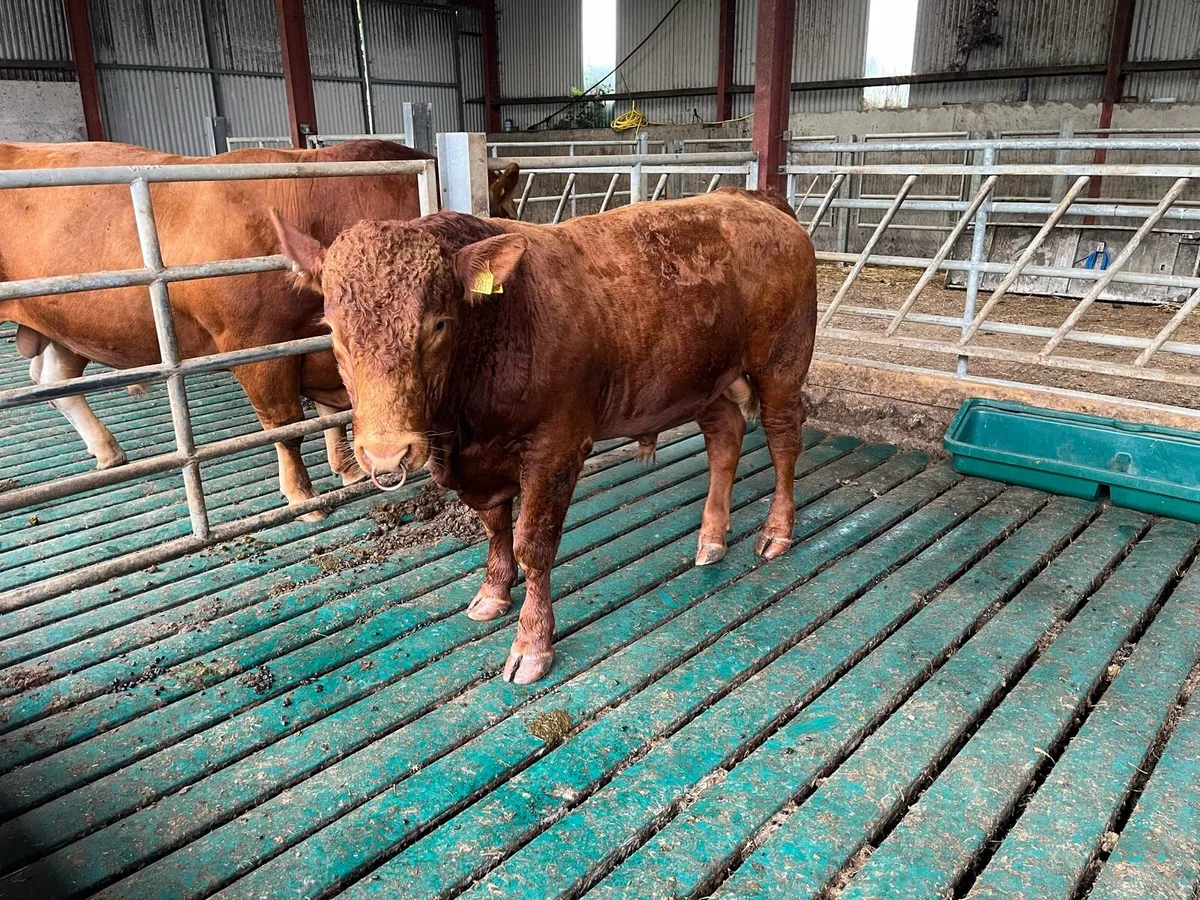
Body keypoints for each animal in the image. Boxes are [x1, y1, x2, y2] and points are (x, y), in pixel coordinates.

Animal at [0, 138, 519, 520]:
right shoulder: (257, 347)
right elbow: (287, 428)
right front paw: (304, 498)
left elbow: (333, 413)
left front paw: (346, 469)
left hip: (65, 329)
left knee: (54, 382)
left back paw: (108, 452)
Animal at [272, 188, 817, 683]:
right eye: (333, 332)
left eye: (439, 324)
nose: (386, 452)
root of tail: (751, 198)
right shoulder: (480, 464)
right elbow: (495, 527)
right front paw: (492, 593)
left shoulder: (556, 448)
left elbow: (532, 544)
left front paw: (532, 643)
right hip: (704, 381)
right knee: (725, 435)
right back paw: (711, 539)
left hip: (781, 365)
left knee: (784, 438)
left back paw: (776, 532)